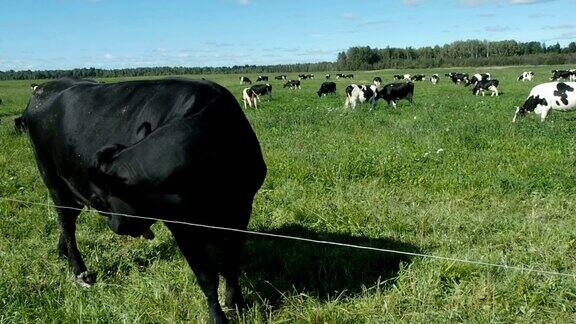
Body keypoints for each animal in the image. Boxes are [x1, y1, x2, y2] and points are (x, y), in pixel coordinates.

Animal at [20, 78, 268, 324]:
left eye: (99, 198)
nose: (114, 225)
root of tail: (45, 88)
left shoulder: (241, 209)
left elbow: (230, 263)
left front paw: (237, 303)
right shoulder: (180, 225)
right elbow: (206, 276)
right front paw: (218, 316)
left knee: (69, 220)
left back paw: (62, 252)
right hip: (53, 180)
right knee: (67, 223)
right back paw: (80, 271)